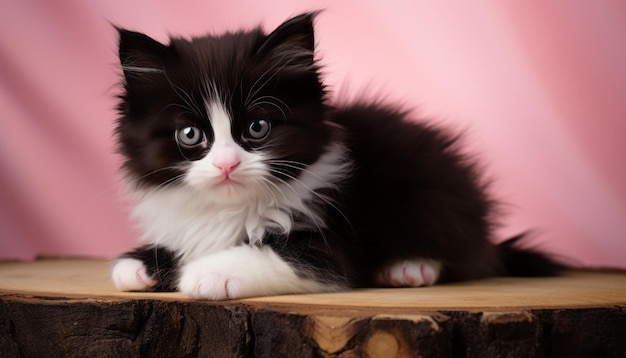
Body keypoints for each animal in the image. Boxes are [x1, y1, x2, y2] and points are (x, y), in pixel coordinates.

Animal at [108, 12, 560, 300]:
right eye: (190, 134)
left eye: (257, 127)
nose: (226, 164)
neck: (231, 209)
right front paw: (139, 264)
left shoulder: (331, 244)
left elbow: (284, 256)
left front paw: (206, 272)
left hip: (432, 193)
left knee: (462, 251)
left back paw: (409, 266)